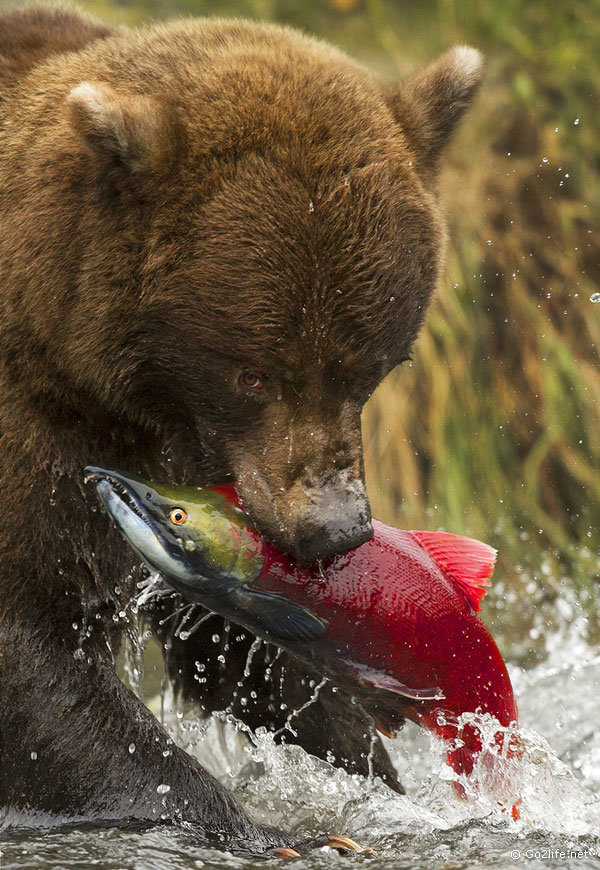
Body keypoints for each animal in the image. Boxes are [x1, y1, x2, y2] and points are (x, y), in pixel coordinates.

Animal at [0, 3, 480, 856]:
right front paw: (255, 825)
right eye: (255, 373)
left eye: (373, 365)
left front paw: (376, 785)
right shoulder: (40, 433)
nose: (334, 528)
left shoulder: (193, 477)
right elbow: (32, 653)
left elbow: (248, 650)